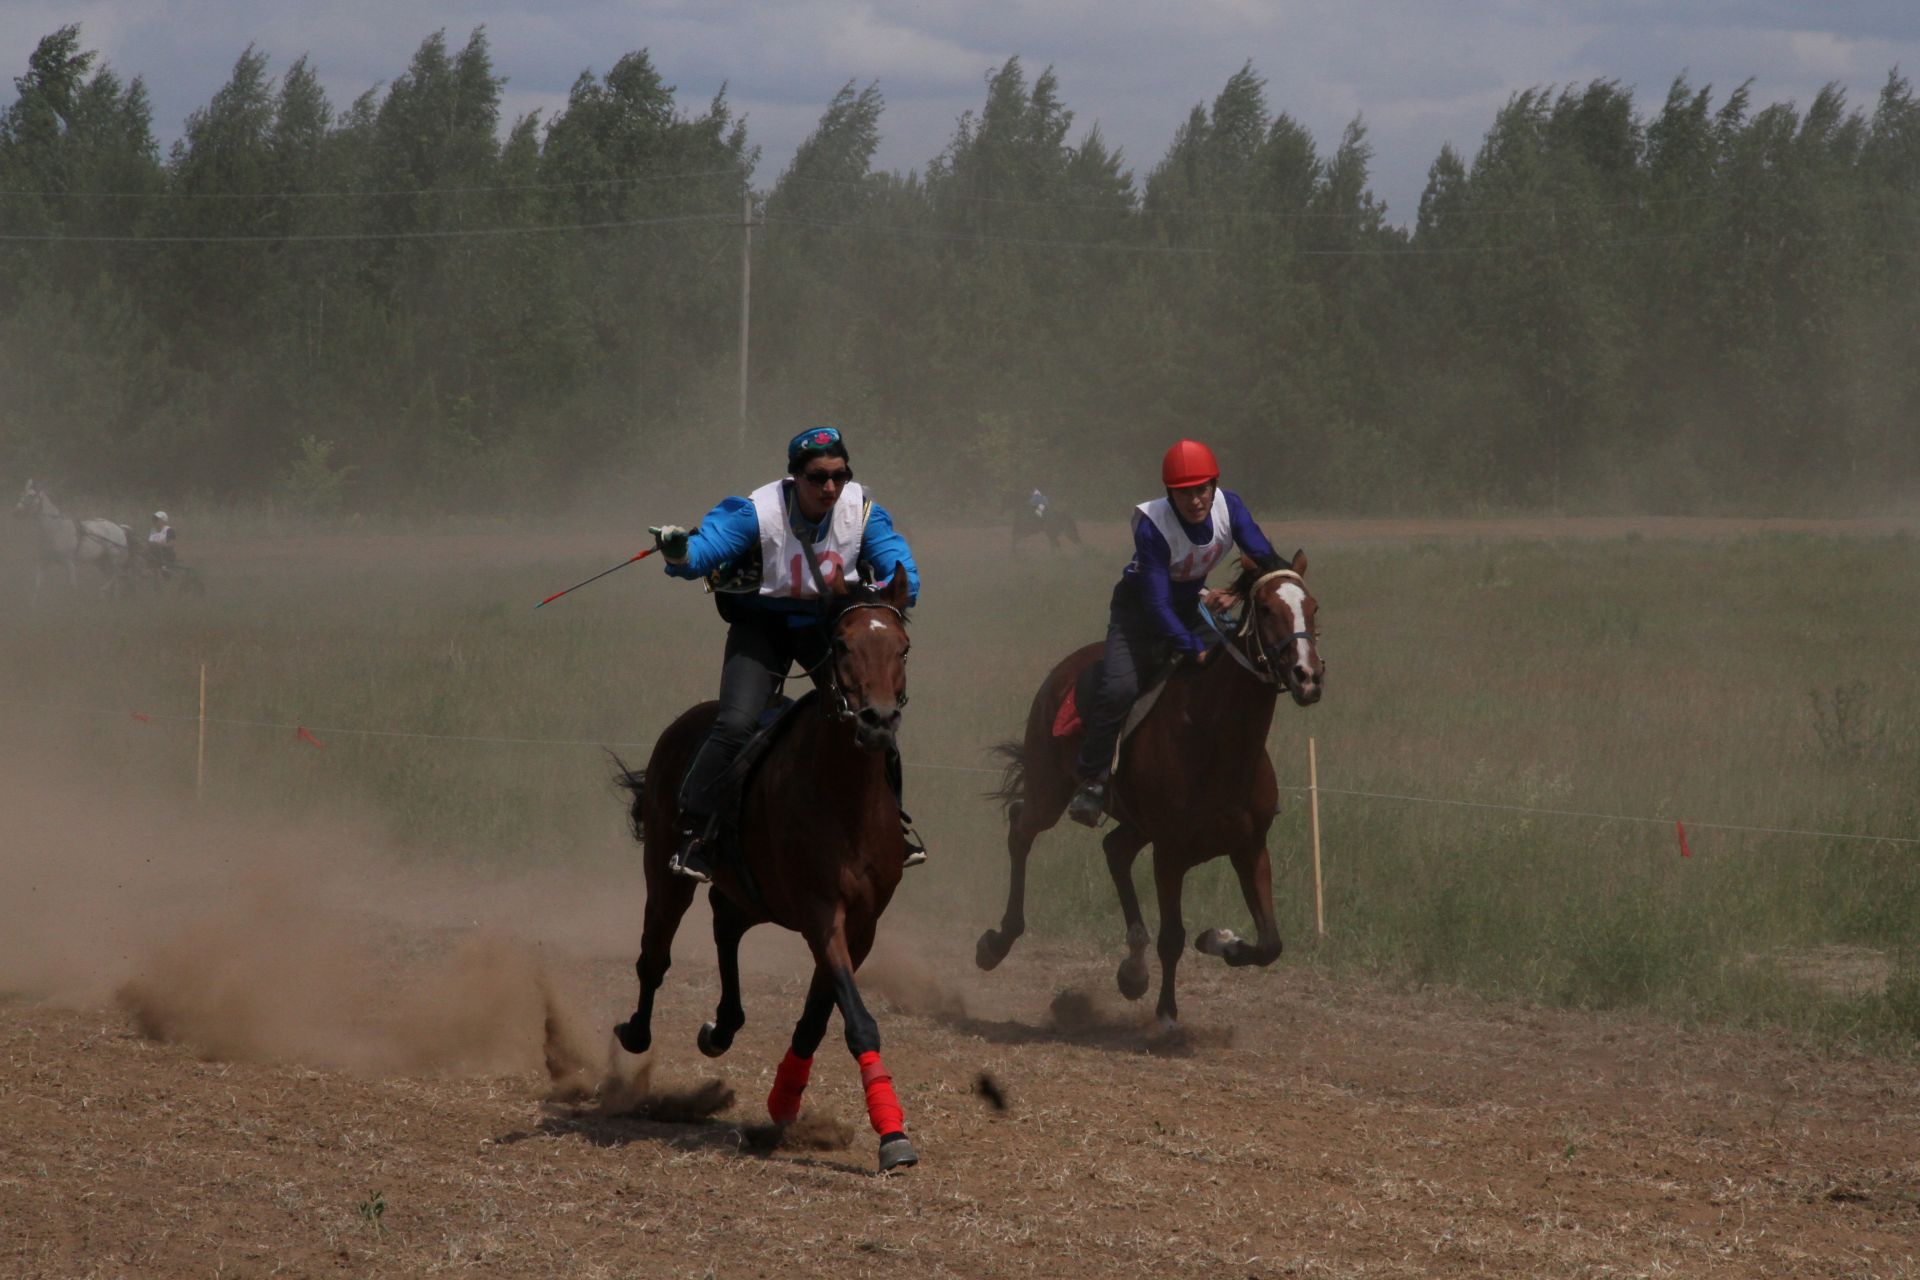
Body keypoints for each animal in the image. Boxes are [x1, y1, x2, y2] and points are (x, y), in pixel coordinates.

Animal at [610, 568, 917, 1174]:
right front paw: (892, 1134)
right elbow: (857, 1018)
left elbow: (821, 1014)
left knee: (726, 924)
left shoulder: (862, 923)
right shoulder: (821, 913)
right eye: (841, 645)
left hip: (753, 894)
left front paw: (786, 1099)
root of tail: (685, 723)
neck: (843, 794)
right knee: (655, 953)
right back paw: (635, 1031)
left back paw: (722, 1026)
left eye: (902, 647)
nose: (877, 721)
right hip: (667, 874)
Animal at [975, 552, 1320, 1028]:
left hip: (1135, 823)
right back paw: (997, 943)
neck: (1215, 738)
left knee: (1114, 849)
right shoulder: (1169, 853)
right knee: (1021, 828)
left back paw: (1133, 971)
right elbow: (1172, 937)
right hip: (1050, 789)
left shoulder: (1250, 846)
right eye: (1267, 609)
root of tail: (1062, 673)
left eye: (1313, 608)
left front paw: (1218, 939)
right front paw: (1167, 1014)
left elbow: (1270, 943)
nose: (1308, 676)